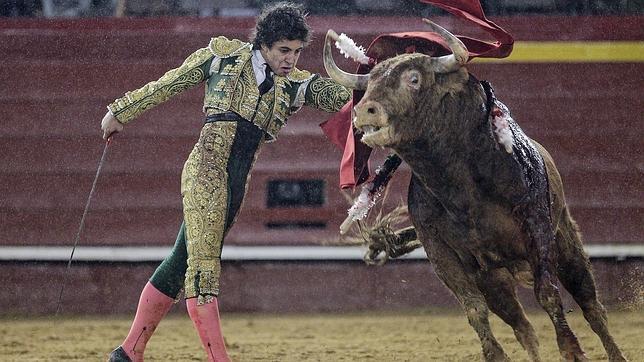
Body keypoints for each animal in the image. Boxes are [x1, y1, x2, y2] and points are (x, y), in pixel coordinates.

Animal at [324, 19, 628, 362]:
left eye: (414, 79)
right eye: (370, 82)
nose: (364, 110)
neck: (459, 187)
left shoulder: (537, 229)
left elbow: (548, 294)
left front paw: (572, 350)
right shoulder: (441, 252)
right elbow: (473, 309)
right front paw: (495, 354)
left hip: (565, 243)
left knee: (592, 307)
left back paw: (616, 354)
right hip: (493, 278)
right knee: (522, 325)